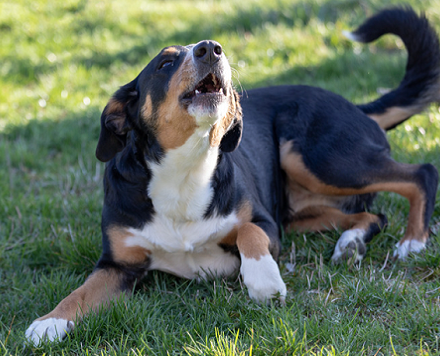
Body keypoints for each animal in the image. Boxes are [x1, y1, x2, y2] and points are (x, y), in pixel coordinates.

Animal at [26, 6, 440, 344]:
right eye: (164, 64)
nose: (211, 48)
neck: (185, 169)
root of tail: (355, 106)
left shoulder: (266, 224)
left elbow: (248, 232)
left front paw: (264, 279)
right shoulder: (118, 264)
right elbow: (81, 291)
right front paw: (49, 322)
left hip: (318, 157)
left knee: (421, 172)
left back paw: (413, 241)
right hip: (300, 209)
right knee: (372, 215)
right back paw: (351, 242)